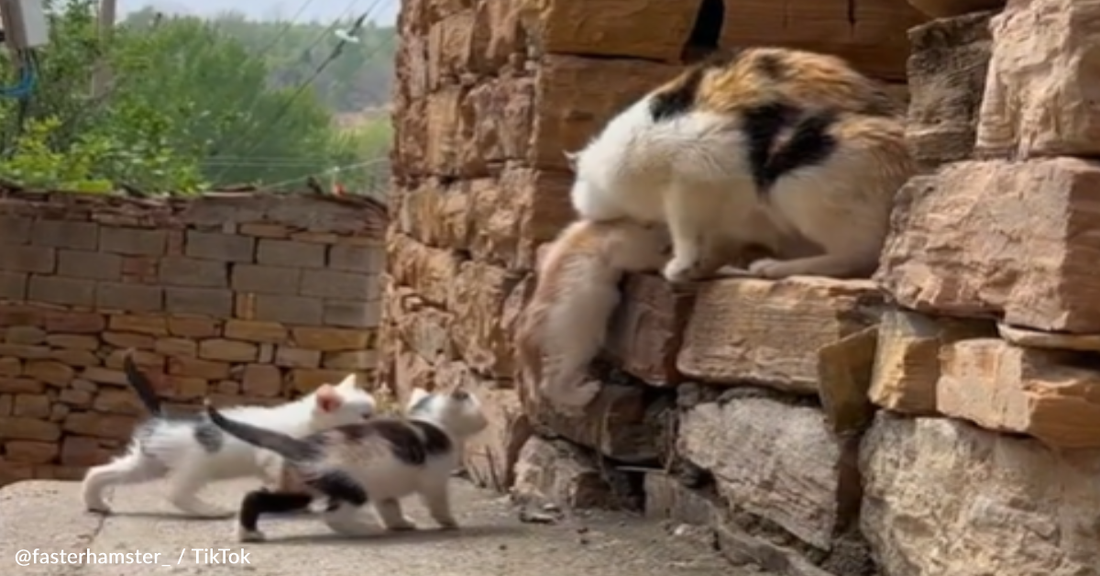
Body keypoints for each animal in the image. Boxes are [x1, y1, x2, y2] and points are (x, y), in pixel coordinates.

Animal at [79, 351, 376, 516]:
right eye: (366, 416)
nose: (382, 419)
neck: (306, 422)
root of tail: (162, 419)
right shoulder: (273, 458)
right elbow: (287, 480)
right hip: (196, 466)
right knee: (175, 492)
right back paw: (210, 511)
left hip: (147, 464)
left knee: (98, 472)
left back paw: (96, 504)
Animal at [206, 384, 490, 543]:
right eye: (478, 408)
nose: (487, 421)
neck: (433, 423)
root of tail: (302, 445)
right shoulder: (434, 479)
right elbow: (438, 503)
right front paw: (449, 522)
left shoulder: (384, 489)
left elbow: (390, 507)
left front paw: (399, 523)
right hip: (351, 486)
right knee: (331, 516)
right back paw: (366, 529)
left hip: (302, 488)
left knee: (254, 497)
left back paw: (248, 534)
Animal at [514, 218, 668, 411]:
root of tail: (528, 327)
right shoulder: (623, 247)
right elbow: (648, 256)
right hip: (578, 344)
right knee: (551, 385)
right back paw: (583, 394)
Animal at [563, 46, 915, 283]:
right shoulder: (729, 221)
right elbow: (714, 243)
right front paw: (698, 269)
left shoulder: (699, 166)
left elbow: (684, 226)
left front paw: (680, 264)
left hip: (797, 179)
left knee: (861, 255)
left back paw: (772, 268)